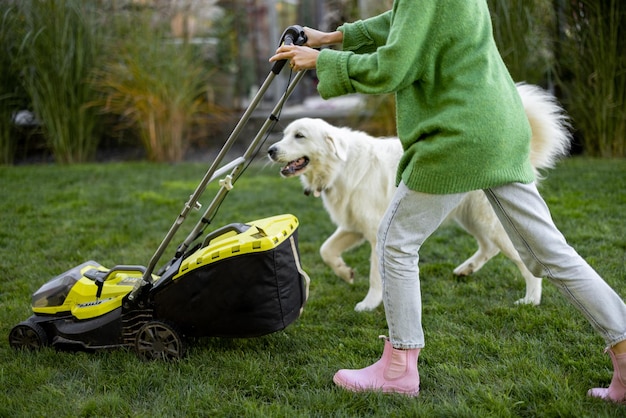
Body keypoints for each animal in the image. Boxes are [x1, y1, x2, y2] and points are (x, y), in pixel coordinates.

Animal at [266, 84, 568, 310]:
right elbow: (326, 250)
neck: (341, 166)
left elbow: (375, 275)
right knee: (488, 248)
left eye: (300, 136)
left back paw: (531, 299)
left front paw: (370, 303)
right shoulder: (352, 227)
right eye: (285, 134)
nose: (270, 150)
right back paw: (466, 270)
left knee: (525, 264)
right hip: (471, 219)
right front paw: (345, 272)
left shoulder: (375, 233)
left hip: (490, 223)